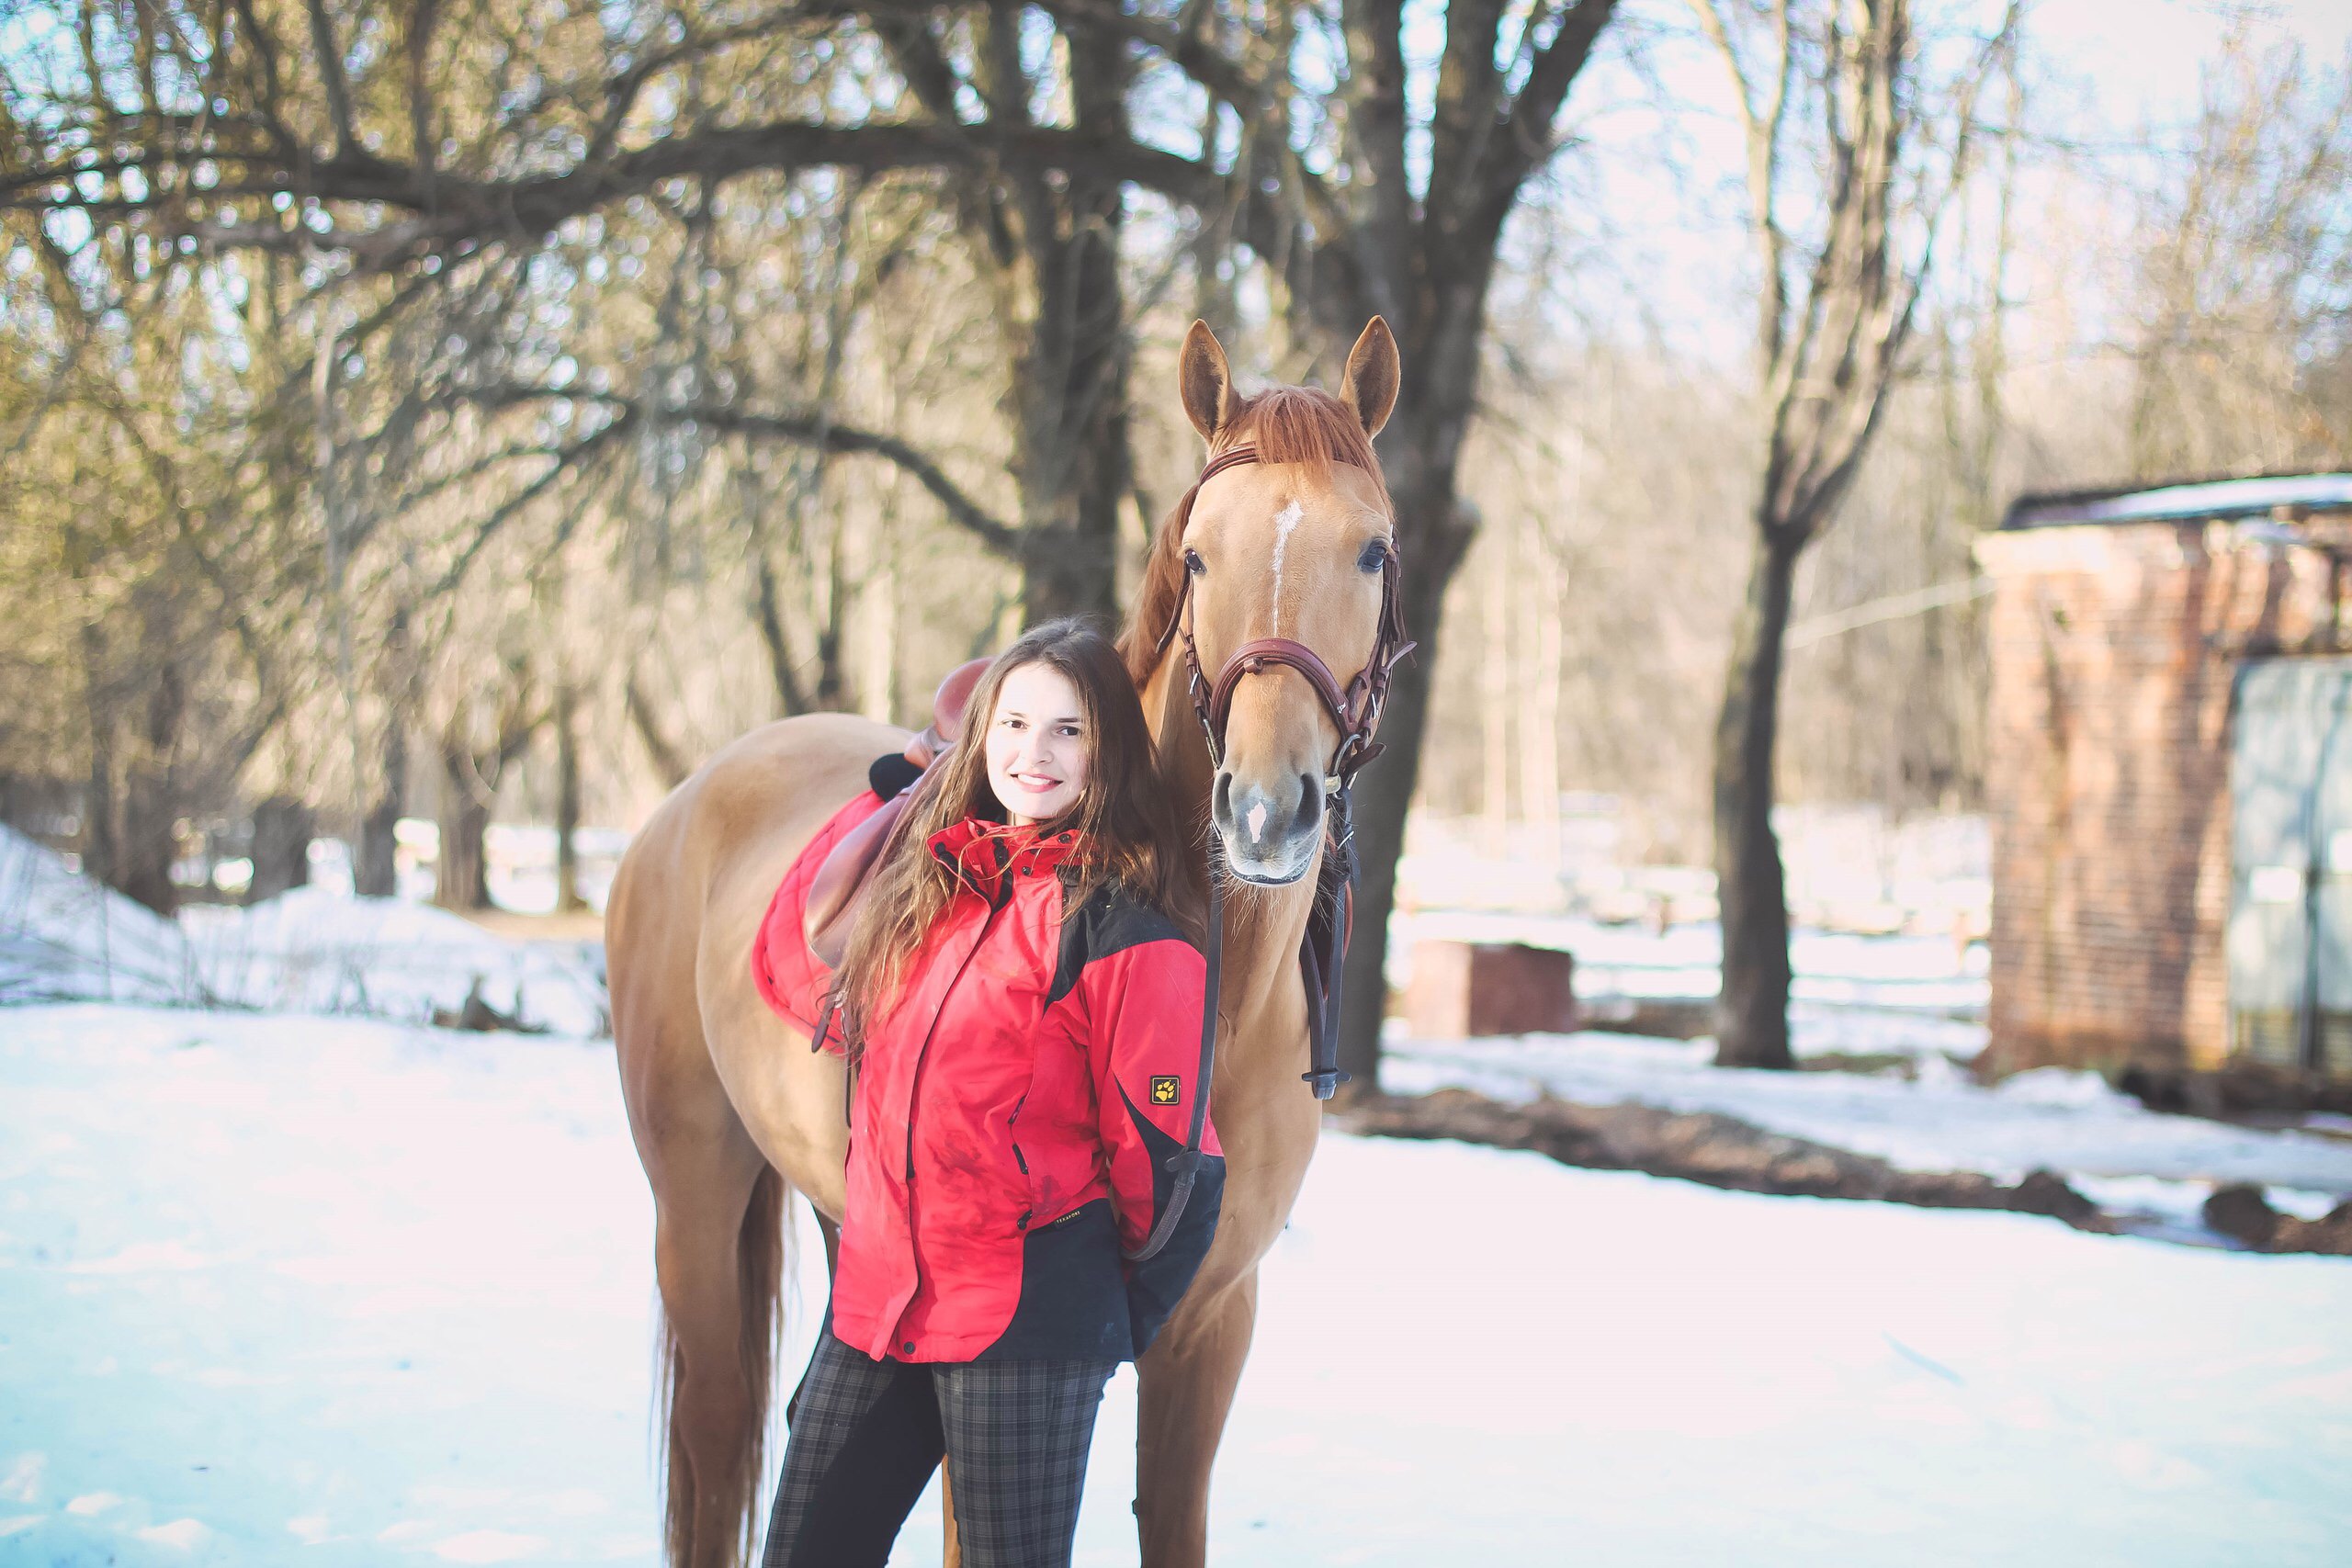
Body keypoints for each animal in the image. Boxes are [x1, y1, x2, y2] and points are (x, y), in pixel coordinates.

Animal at [604, 314, 1406, 1568]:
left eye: (1371, 551)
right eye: (1198, 557)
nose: (1266, 811)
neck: (1218, 1007)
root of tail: (685, 801)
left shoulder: (1211, 1325)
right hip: (691, 1206)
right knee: (715, 1436)